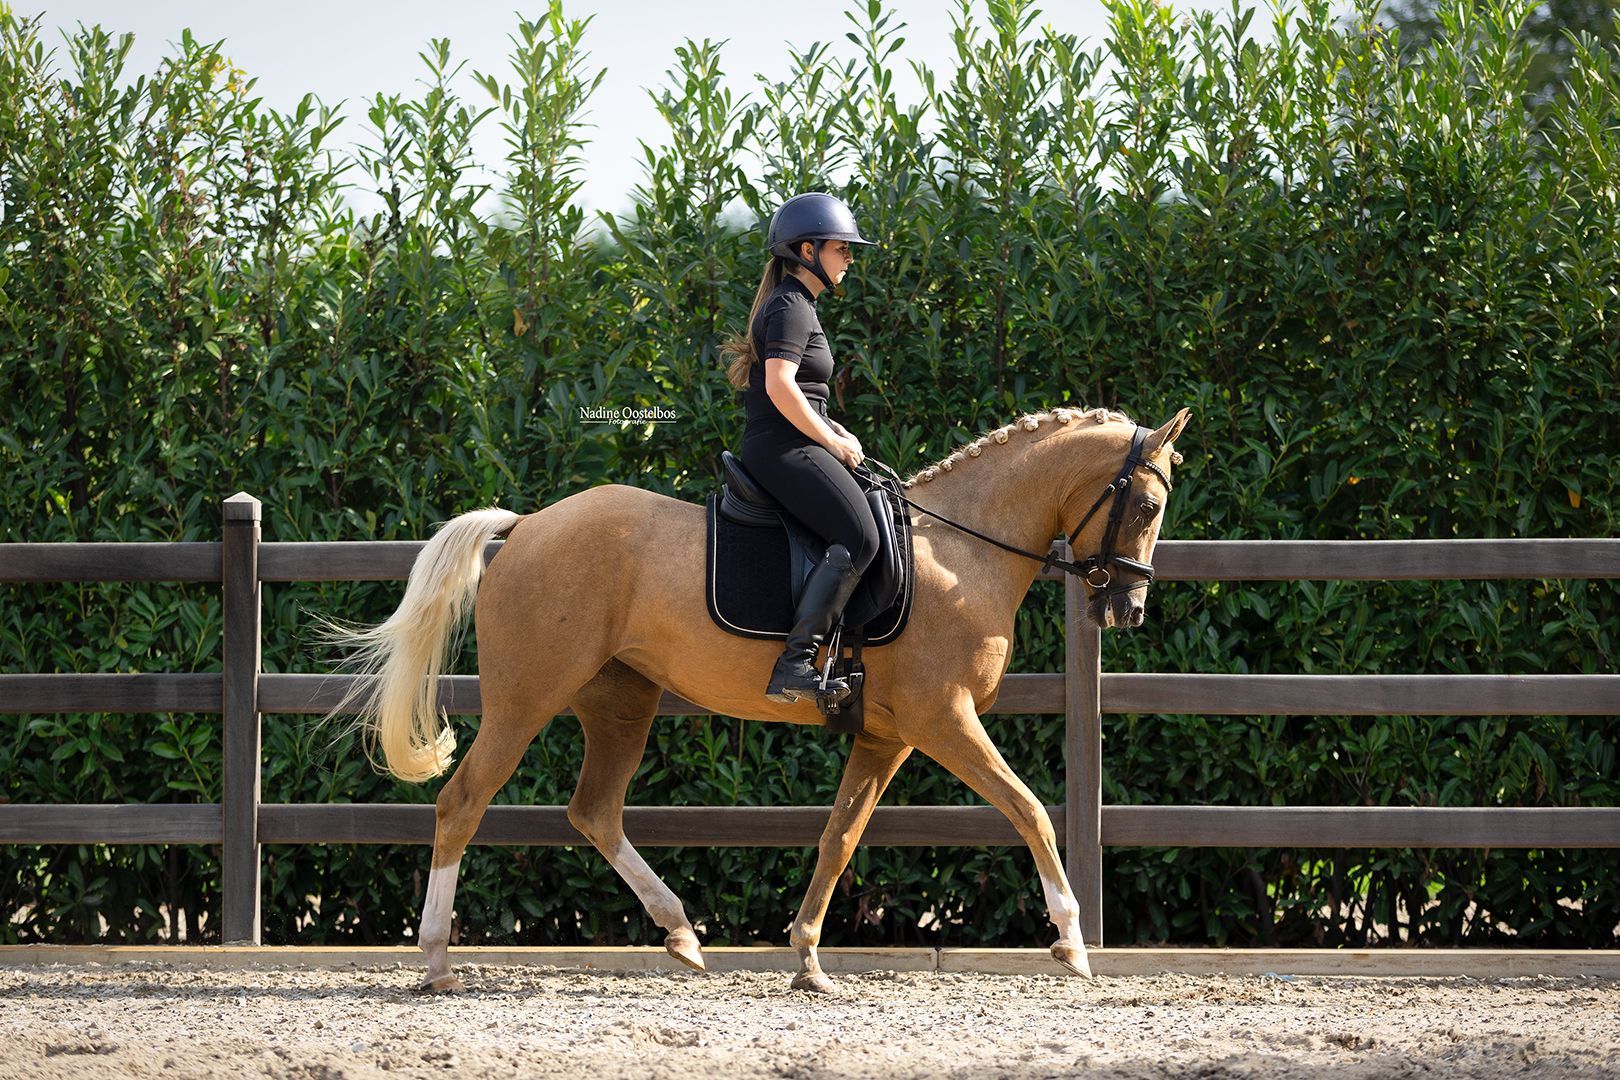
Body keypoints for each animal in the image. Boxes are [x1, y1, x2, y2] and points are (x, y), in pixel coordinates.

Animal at [325, 405, 1190, 993]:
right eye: (1148, 507)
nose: (1129, 609)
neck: (958, 553)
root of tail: (529, 524)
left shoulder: (887, 736)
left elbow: (840, 837)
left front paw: (806, 956)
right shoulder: (943, 719)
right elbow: (1030, 808)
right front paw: (1071, 942)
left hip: (620, 702)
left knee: (594, 811)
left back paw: (681, 934)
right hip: (524, 701)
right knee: (462, 803)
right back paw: (437, 957)